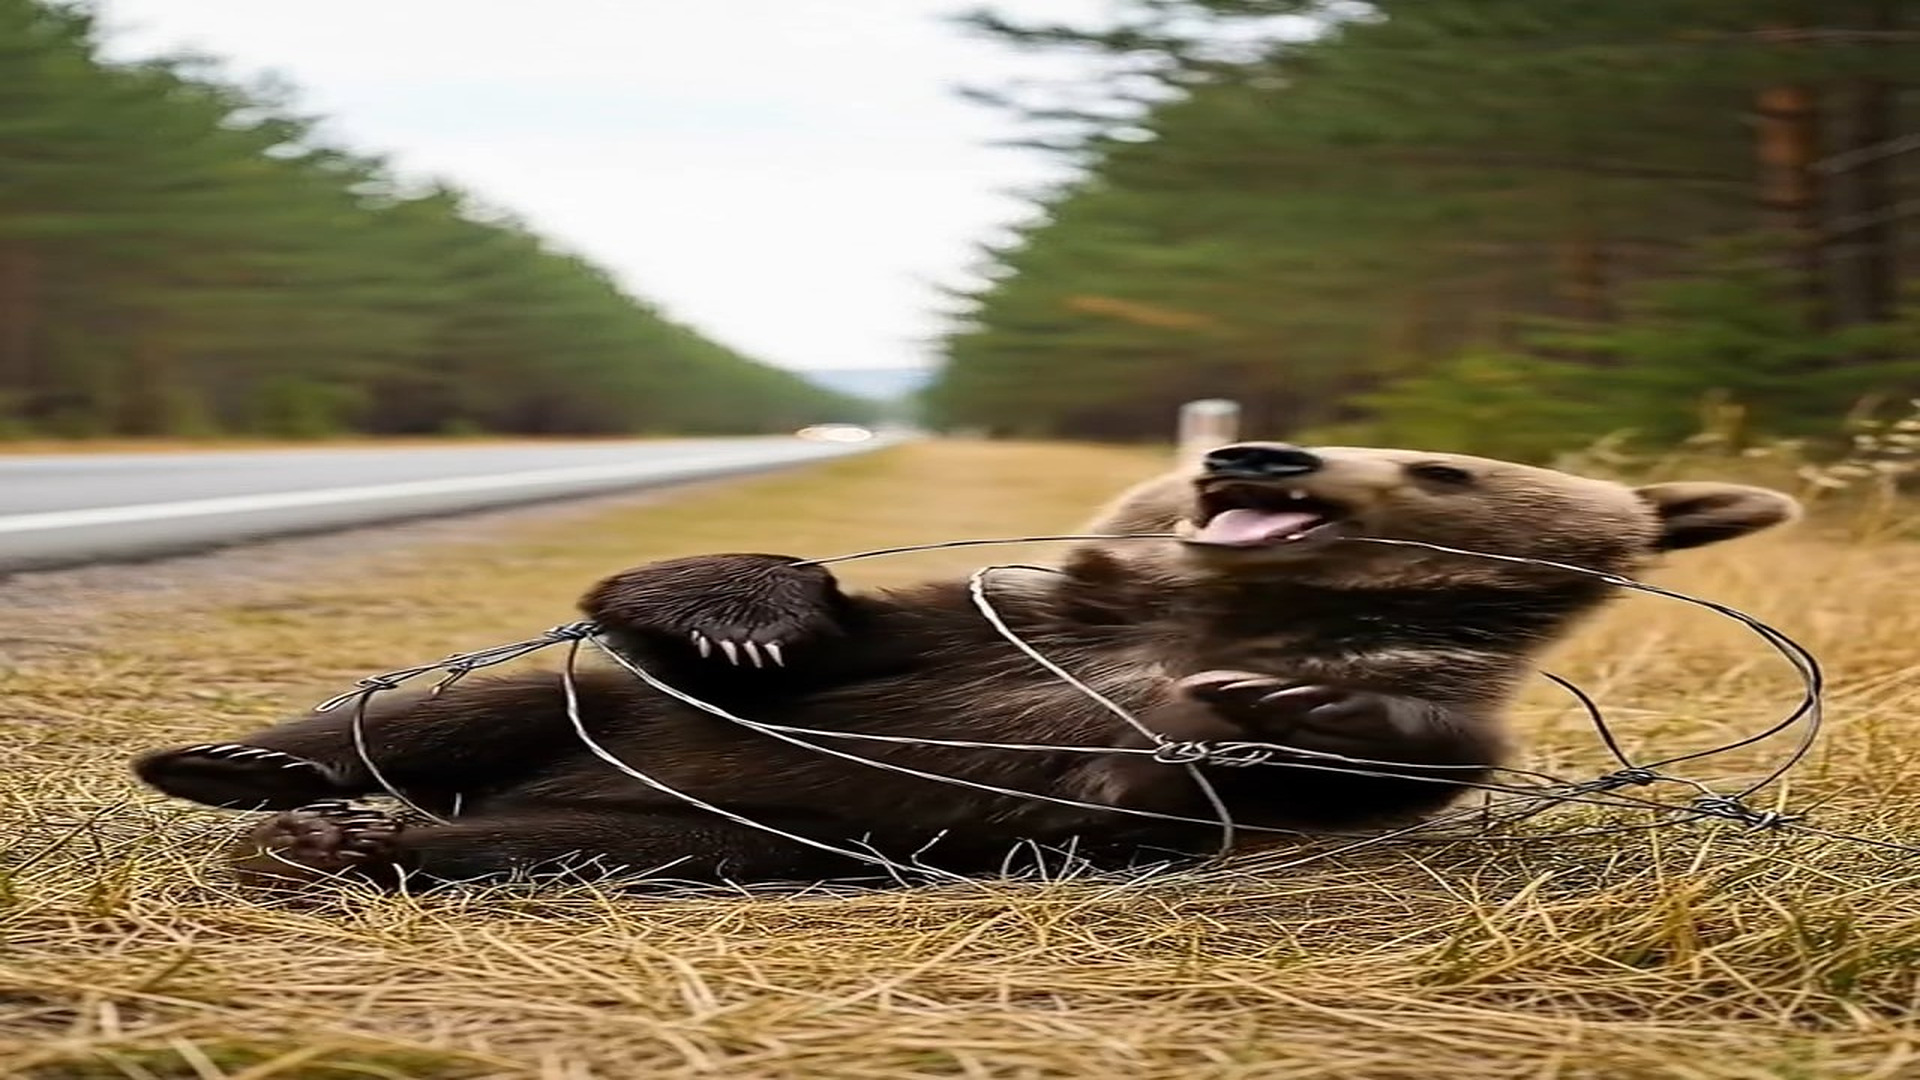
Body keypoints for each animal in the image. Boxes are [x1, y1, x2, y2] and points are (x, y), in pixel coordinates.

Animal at [129, 442, 1799, 891]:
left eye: (1441, 465)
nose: (1253, 453)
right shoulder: (1012, 621)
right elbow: (771, 636)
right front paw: (744, 610)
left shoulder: (1136, 753)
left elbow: (1366, 758)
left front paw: (1294, 708)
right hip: (606, 738)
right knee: (491, 708)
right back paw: (238, 775)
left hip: (732, 834)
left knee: (544, 839)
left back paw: (352, 843)